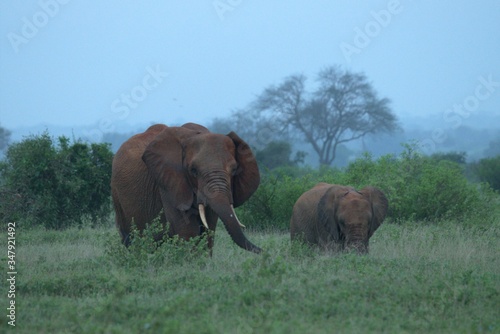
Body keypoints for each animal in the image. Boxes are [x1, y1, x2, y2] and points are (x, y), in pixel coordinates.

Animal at [111, 122, 262, 253]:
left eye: (234, 169)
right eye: (193, 170)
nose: (263, 250)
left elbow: (209, 229)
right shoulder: (168, 183)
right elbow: (187, 229)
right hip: (116, 194)